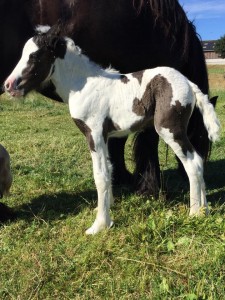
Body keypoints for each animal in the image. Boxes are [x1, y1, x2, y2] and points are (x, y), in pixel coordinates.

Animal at [0, 0, 211, 220]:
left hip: (168, 128)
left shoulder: (96, 133)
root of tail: (188, 83)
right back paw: (203, 209)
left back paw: (195, 211)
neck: (85, 83)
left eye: (34, 56)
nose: (9, 85)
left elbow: (103, 171)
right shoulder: (107, 133)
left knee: (193, 163)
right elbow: (110, 166)